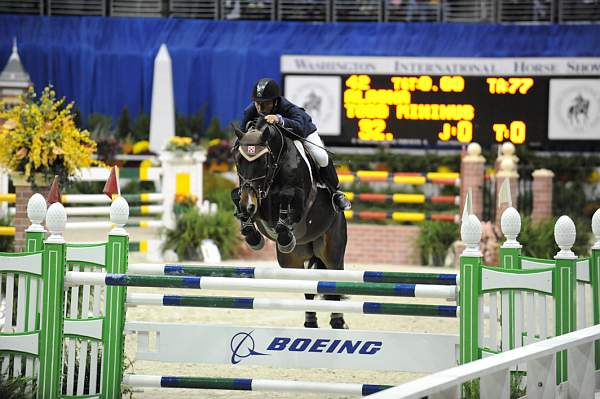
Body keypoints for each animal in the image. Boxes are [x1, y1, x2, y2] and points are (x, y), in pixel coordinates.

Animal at [233, 119, 350, 332]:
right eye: (238, 160)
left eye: (262, 162)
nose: (248, 205)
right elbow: (237, 196)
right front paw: (252, 234)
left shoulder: (297, 202)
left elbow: (287, 204)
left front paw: (285, 236)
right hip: (292, 261)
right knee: (308, 288)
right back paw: (310, 322)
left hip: (332, 252)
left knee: (333, 284)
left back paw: (338, 322)